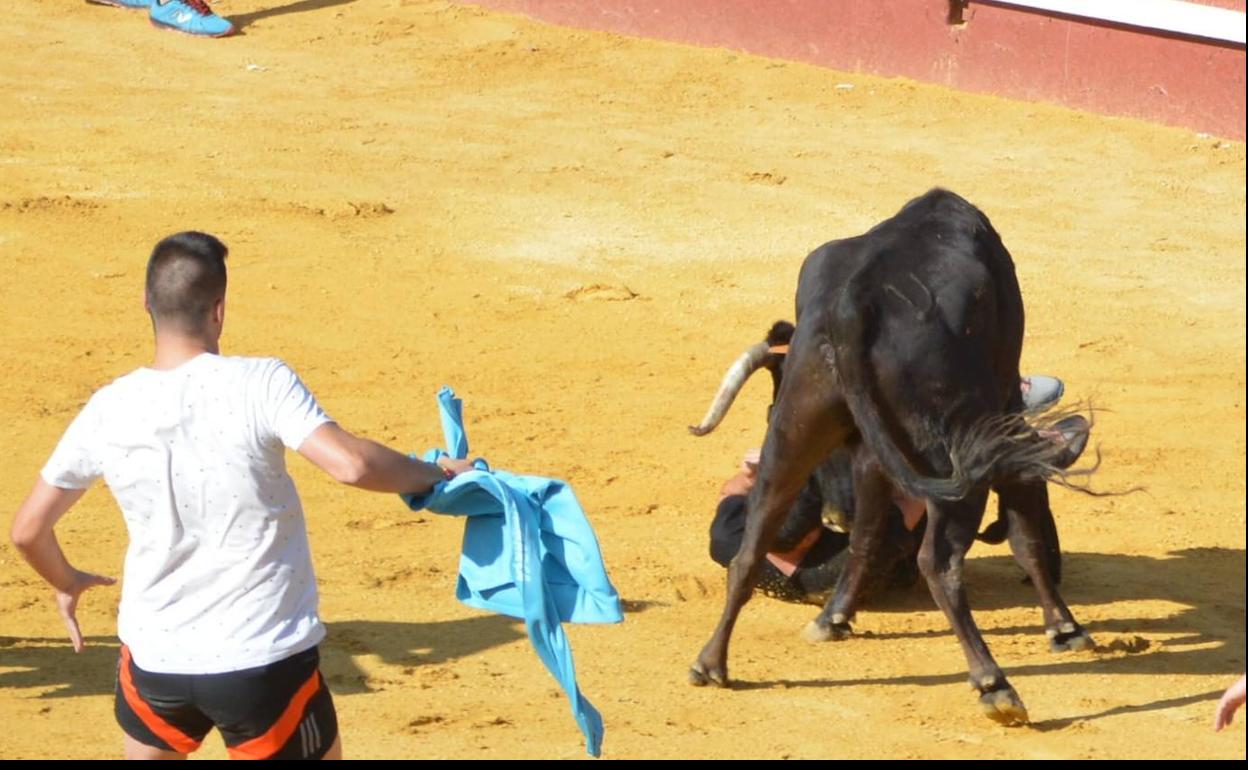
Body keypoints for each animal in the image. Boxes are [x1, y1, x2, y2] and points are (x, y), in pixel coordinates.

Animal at [693, 189, 1093, 723]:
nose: (834, 513)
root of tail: (853, 305)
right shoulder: (1002, 412)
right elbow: (1024, 527)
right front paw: (1064, 628)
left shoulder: (865, 452)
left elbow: (865, 533)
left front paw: (833, 618)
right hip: (953, 456)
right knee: (939, 562)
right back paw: (994, 685)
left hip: (796, 431)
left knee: (751, 548)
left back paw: (711, 664)